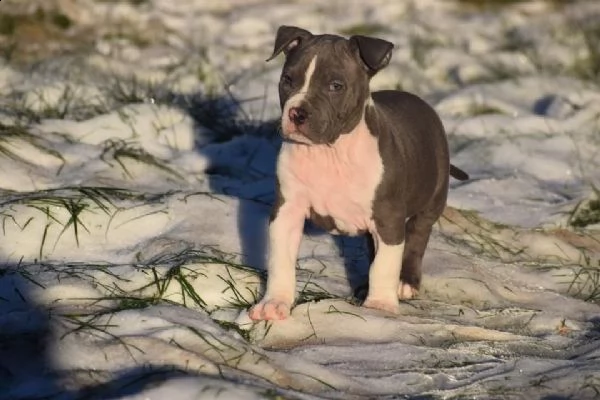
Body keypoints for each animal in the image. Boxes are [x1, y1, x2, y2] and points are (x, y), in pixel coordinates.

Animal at [246, 25, 466, 322]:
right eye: (287, 80)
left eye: (336, 86)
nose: (297, 113)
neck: (329, 151)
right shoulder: (287, 210)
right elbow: (281, 259)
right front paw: (274, 303)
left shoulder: (388, 217)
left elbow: (385, 264)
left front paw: (380, 306)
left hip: (432, 196)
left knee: (417, 235)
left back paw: (405, 282)